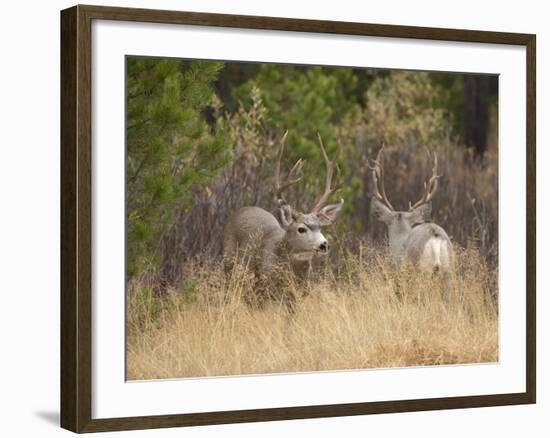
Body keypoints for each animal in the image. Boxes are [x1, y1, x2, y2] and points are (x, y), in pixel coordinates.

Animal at [223, 132, 344, 310]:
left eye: (320, 228)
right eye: (301, 229)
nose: (324, 245)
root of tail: (240, 211)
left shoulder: (296, 296)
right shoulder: (266, 288)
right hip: (230, 263)